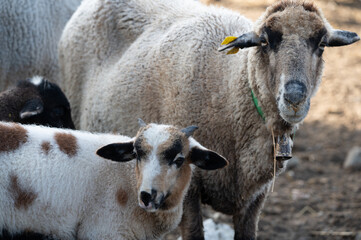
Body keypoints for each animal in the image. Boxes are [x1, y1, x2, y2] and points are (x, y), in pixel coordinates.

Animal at [57, 0, 358, 238]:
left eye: (321, 44)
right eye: (265, 42)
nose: (294, 97)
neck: (232, 85)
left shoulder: (255, 197)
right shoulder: (188, 185)